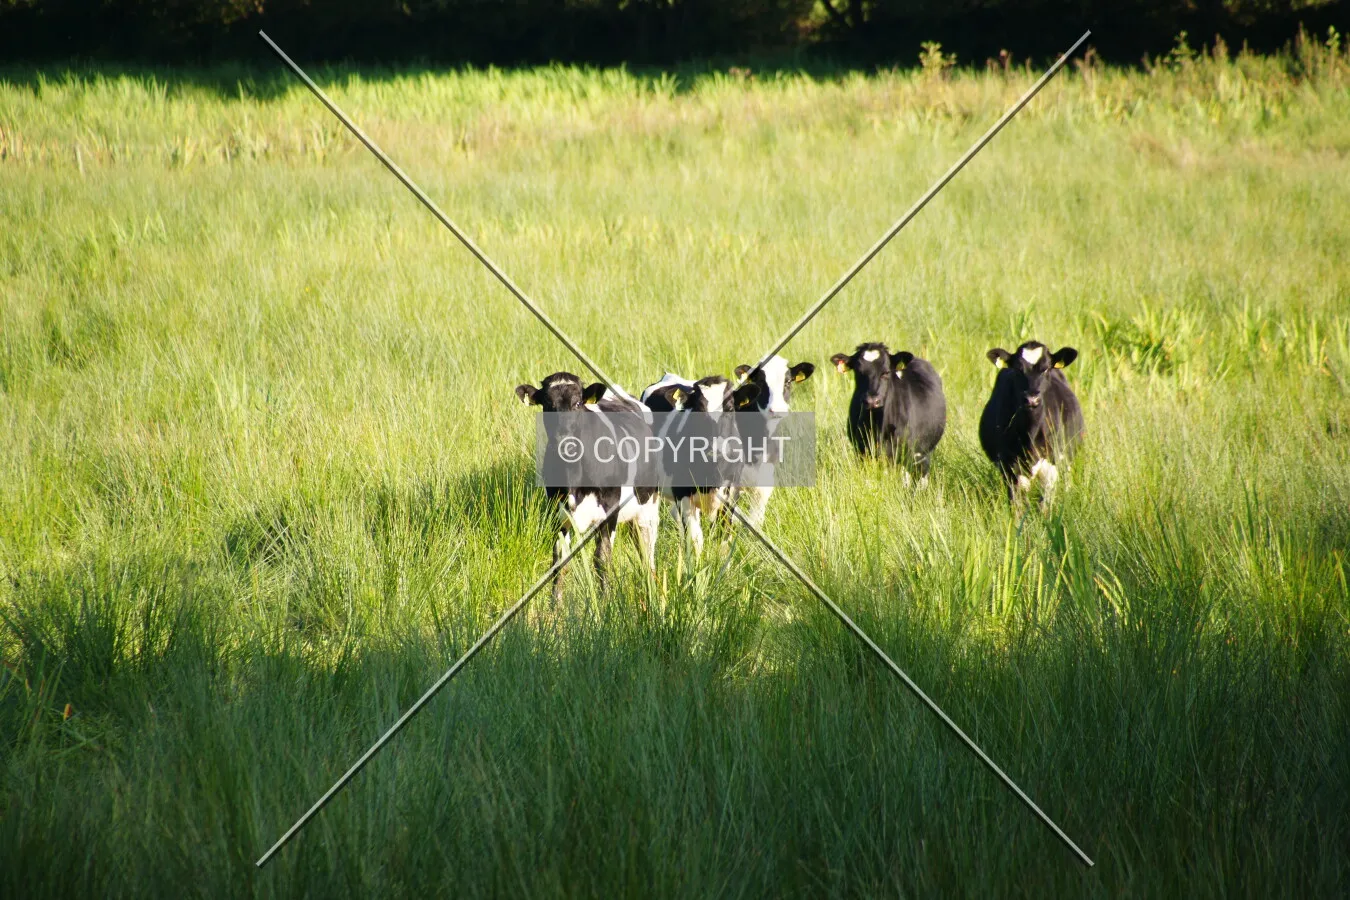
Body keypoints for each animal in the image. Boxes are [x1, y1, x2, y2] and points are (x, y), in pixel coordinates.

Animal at [515, 372, 660, 601]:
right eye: (547, 404)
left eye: (577, 403)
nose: (563, 438)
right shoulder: (558, 516)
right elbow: (559, 562)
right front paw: (555, 605)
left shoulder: (609, 513)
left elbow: (602, 559)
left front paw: (606, 602)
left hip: (648, 508)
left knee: (647, 552)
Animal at [640, 372, 759, 558]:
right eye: (698, 411)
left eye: (729, 408)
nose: (715, 448)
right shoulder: (682, 495)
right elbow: (695, 540)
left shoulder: (731, 495)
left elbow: (723, 538)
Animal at [977, 341, 1083, 506]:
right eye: (1018, 369)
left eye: (1046, 368)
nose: (1031, 399)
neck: (1030, 433)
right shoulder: (1010, 466)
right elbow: (1018, 504)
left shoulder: (1051, 465)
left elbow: (1044, 505)